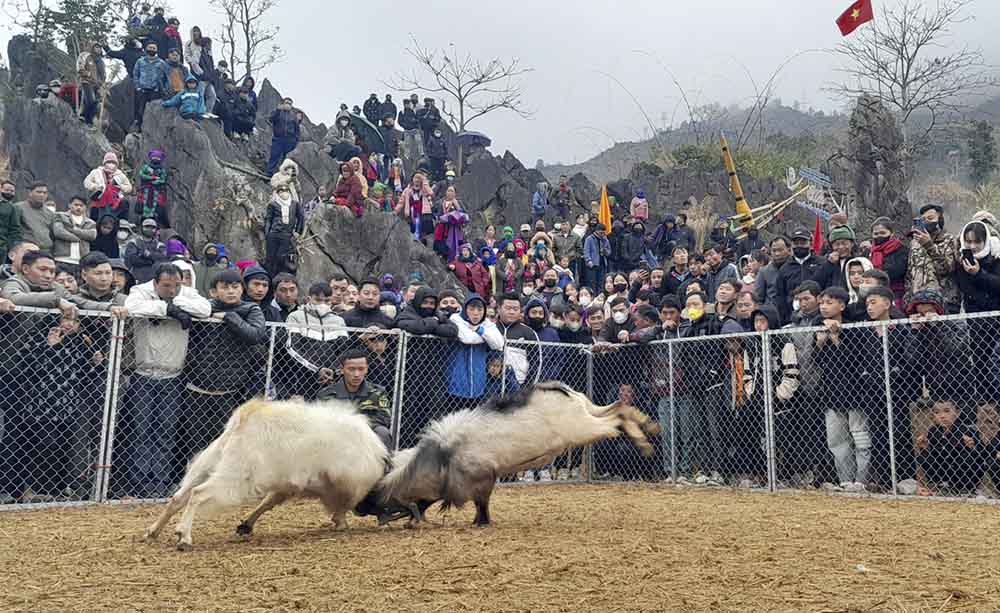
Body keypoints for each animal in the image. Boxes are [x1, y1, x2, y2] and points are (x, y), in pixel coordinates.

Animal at [145, 396, 386, 548]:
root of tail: (245, 418)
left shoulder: (287, 486)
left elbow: (268, 503)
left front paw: (246, 525)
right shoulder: (347, 486)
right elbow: (342, 506)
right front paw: (341, 523)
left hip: (207, 467)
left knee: (178, 497)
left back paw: (153, 531)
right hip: (233, 477)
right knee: (198, 494)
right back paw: (184, 536)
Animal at [378, 380, 660, 524]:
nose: (393, 515)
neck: (445, 456)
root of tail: (560, 391)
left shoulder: (480, 480)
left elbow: (479, 503)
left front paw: (481, 522)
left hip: (584, 428)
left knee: (616, 420)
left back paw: (644, 441)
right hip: (589, 413)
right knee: (618, 408)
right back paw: (648, 426)